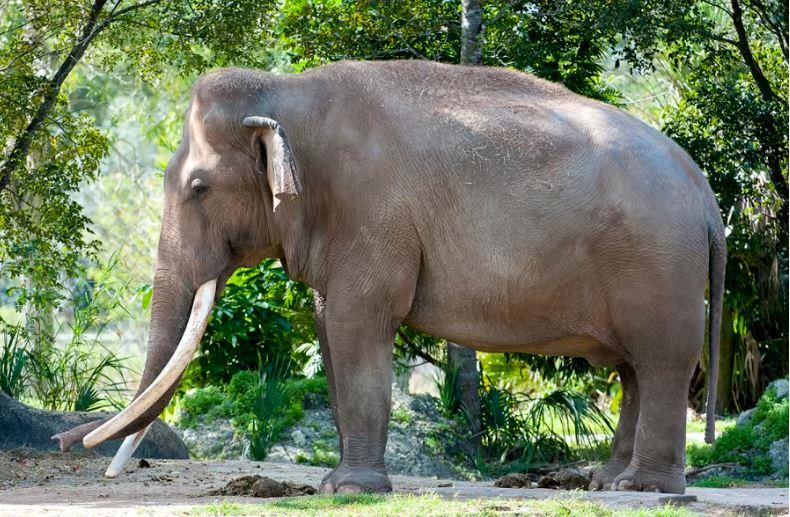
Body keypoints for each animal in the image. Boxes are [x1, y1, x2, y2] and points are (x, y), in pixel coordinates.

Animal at [52, 58, 728, 494]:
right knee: (633, 369)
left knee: (662, 361)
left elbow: (359, 323)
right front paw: (335, 483)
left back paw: (645, 491)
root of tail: (706, 194)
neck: (287, 94)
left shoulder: (370, 212)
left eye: (198, 188)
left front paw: (352, 490)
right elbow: (330, 326)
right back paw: (607, 482)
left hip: (659, 266)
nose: (65, 445)